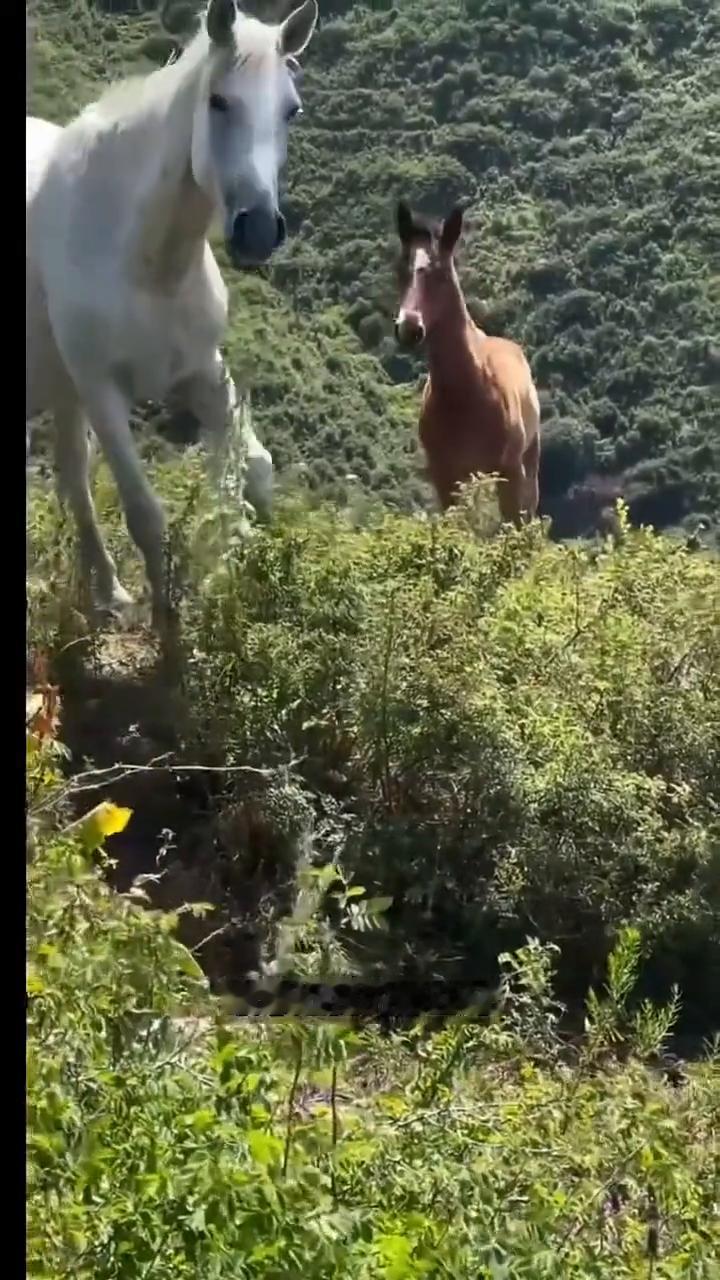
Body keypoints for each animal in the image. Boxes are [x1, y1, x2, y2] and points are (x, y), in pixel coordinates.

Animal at [26, 0, 318, 629]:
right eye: (219, 101)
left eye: (291, 110)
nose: (259, 231)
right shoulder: (103, 391)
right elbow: (145, 512)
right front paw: (170, 622)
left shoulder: (203, 370)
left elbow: (256, 468)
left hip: (63, 390)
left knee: (73, 477)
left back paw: (110, 591)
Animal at [393, 201, 541, 527]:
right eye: (399, 270)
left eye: (442, 275)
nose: (409, 328)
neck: (467, 391)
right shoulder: (445, 475)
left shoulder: (509, 470)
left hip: (529, 459)